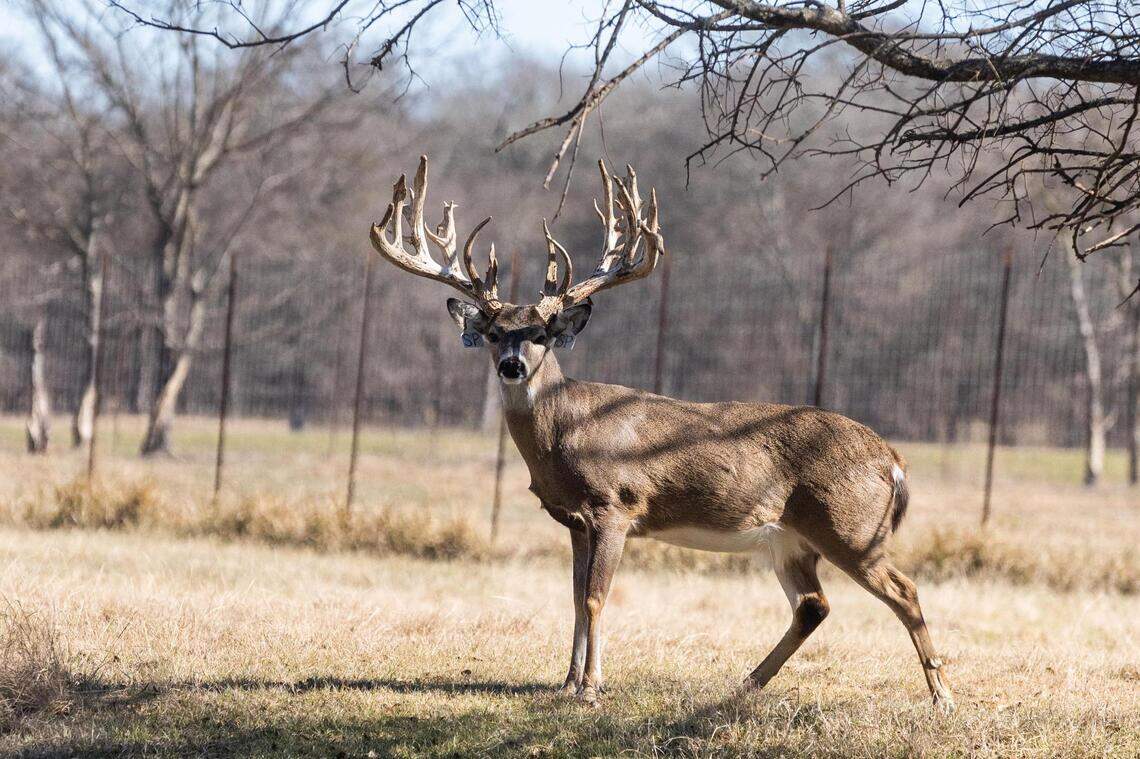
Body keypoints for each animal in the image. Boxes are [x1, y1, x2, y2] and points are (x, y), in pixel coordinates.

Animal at [368, 155, 955, 711]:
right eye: (493, 333)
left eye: (541, 334)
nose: (512, 366)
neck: (564, 436)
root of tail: (893, 459)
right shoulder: (575, 520)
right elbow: (573, 597)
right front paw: (566, 684)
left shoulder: (614, 507)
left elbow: (595, 598)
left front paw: (591, 688)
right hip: (791, 538)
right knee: (814, 606)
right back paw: (744, 685)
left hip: (850, 527)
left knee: (904, 590)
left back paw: (941, 695)